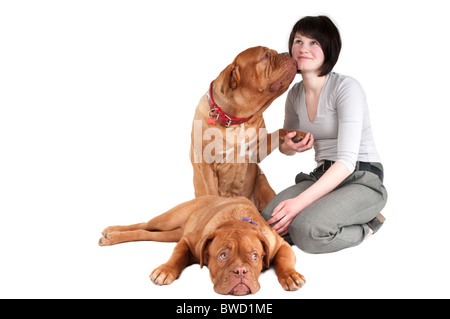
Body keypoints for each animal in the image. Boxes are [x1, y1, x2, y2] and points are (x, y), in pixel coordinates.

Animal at [99, 196, 306, 296]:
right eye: (223, 255)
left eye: (255, 256)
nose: (241, 271)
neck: (237, 220)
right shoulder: (188, 241)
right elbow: (177, 256)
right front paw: (165, 270)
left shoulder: (280, 244)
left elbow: (284, 259)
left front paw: (291, 276)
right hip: (167, 219)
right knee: (144, 224)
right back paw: (111, 233)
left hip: (170, 234)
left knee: (146, 233)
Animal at [190, 46, 306, 211]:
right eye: (266, 55)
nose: (288, 53)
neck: (235, 120)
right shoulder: (207, 166)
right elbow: (212, 192)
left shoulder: (257, 150)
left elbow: (279, 131)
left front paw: (298, 134)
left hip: (262, 185)